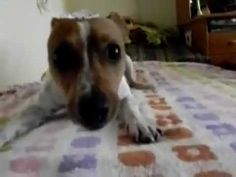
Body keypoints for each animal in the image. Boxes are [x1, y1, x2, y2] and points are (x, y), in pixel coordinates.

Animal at [2, 16, 162, 147]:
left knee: (132, 80)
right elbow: (20, 118)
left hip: (129, 63)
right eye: (59, 56)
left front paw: (141, 123)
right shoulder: (39, 107)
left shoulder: (124, 96)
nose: (93, 110)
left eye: (114, 51)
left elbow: (129, 106)